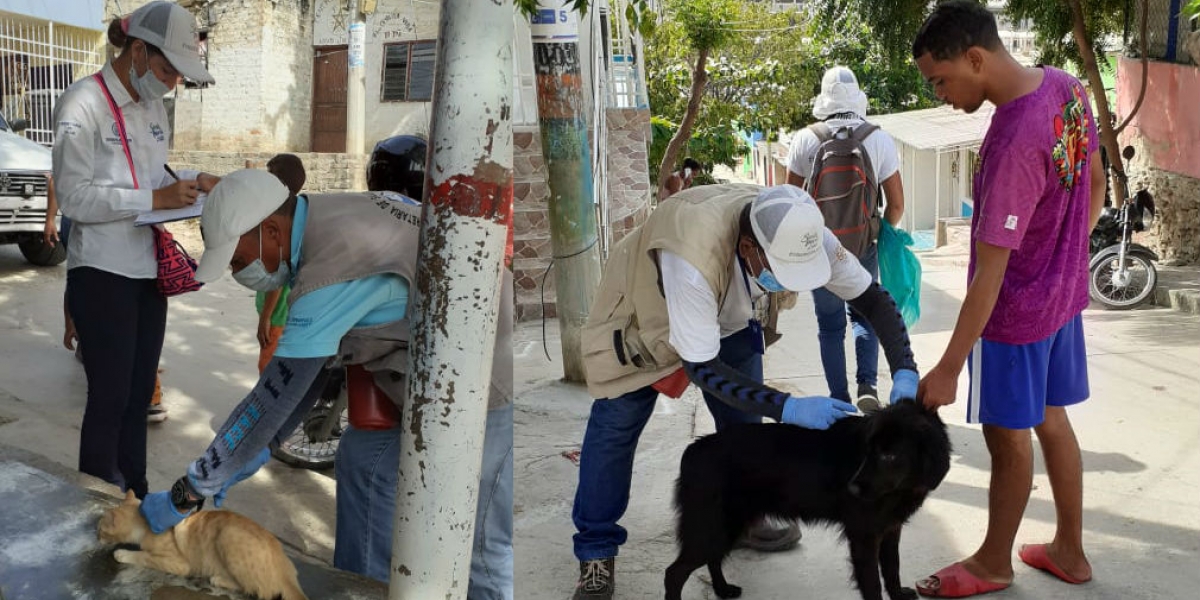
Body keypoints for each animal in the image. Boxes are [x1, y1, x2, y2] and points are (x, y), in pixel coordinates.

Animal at [97, 492, 309, 600]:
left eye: (100, 530)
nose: (96, 535)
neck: (146, 524)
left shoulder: (179, 564)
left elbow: (144, 556)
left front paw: (122, 553)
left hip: (228, 536)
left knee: (254, 589)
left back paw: (218, 579)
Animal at [667, 398, 945, 600]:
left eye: (889, 455)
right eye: (868, 450)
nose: (852, 489)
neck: (900, 489)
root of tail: (692, 450)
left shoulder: (890, 529)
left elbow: (892, 568)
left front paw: (898, 595)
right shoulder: (864, 536)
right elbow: (872, 583)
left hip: (726, 527)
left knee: (712, 559)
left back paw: (723, 590)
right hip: (714, 527)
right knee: (674, 573)